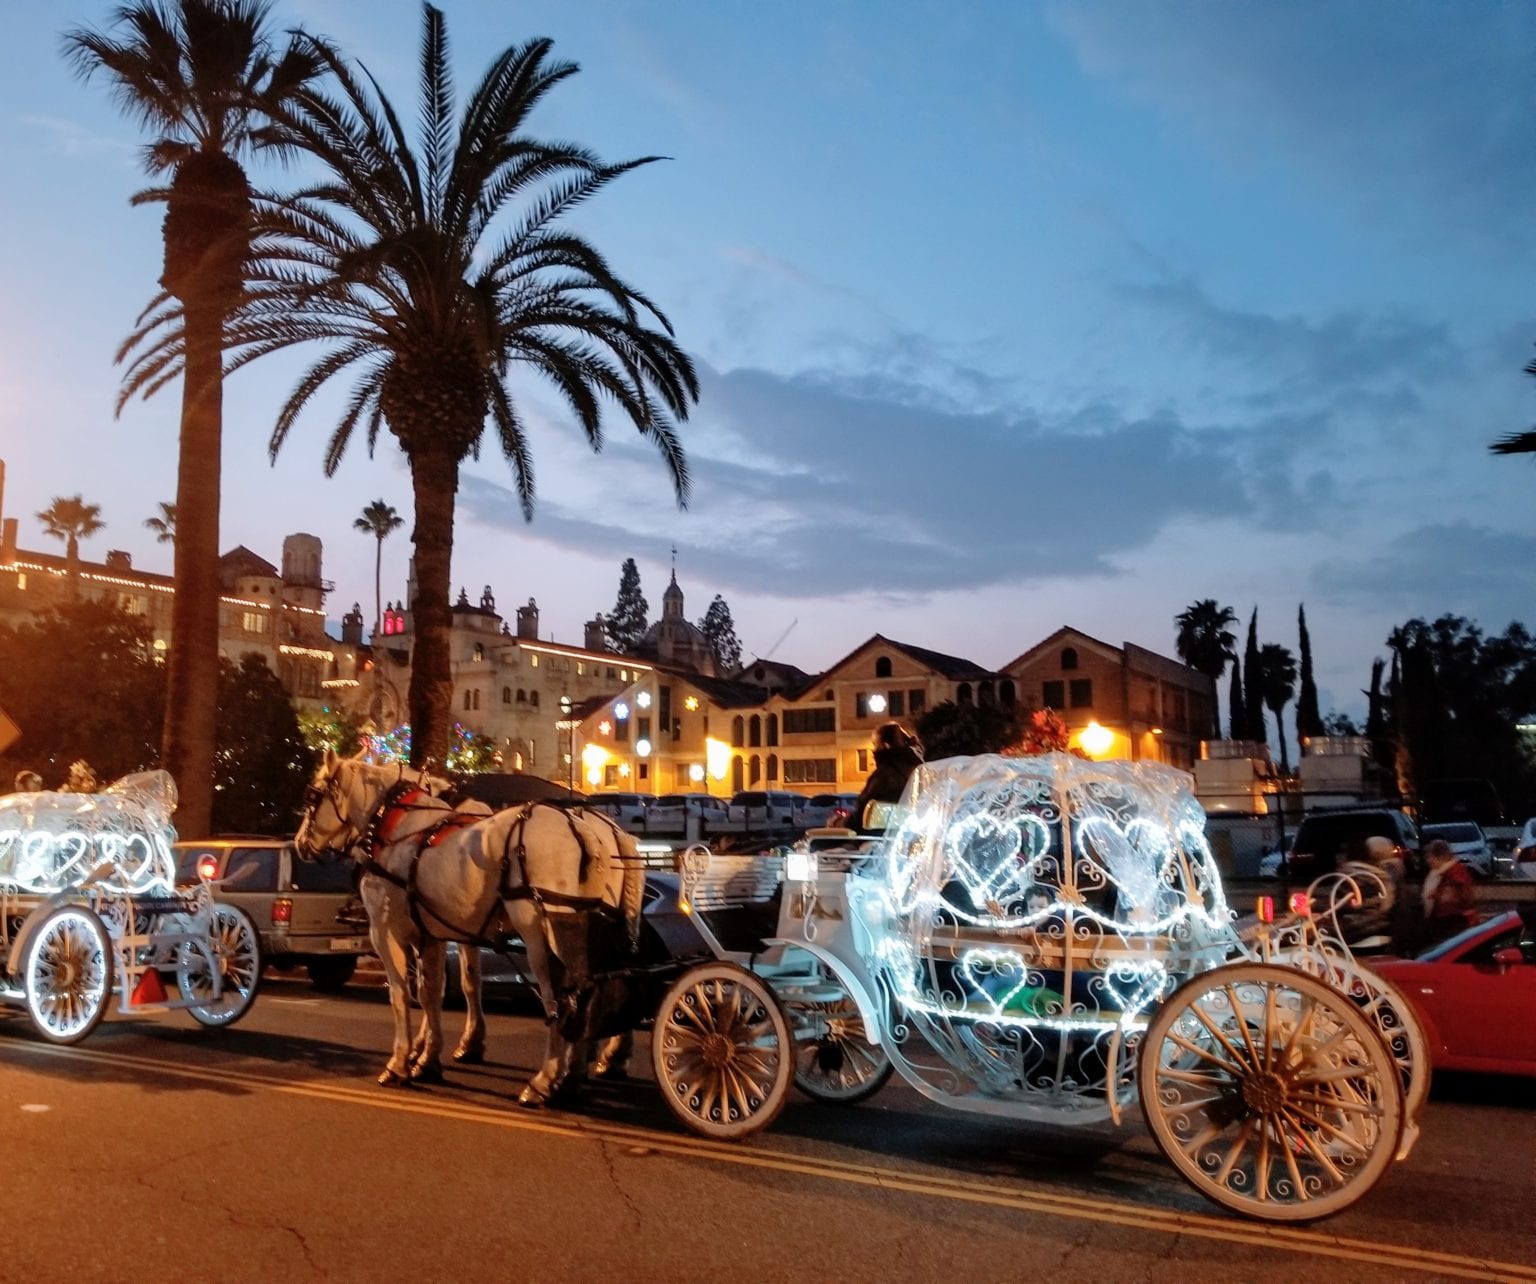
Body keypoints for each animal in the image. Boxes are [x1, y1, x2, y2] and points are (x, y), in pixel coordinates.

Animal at [296, 752, 645, 1105]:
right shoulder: (434, 934)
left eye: (312, 795)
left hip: (542, 937)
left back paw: (547, 1079)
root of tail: (586, 830)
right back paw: (581, 1069)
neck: (398, 829)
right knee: (595, 988)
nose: (300, 844)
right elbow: (434, 992)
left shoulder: (388, 931)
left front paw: (402, 1061)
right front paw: (429, 1056)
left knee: (560, 999)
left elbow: (404, 994)